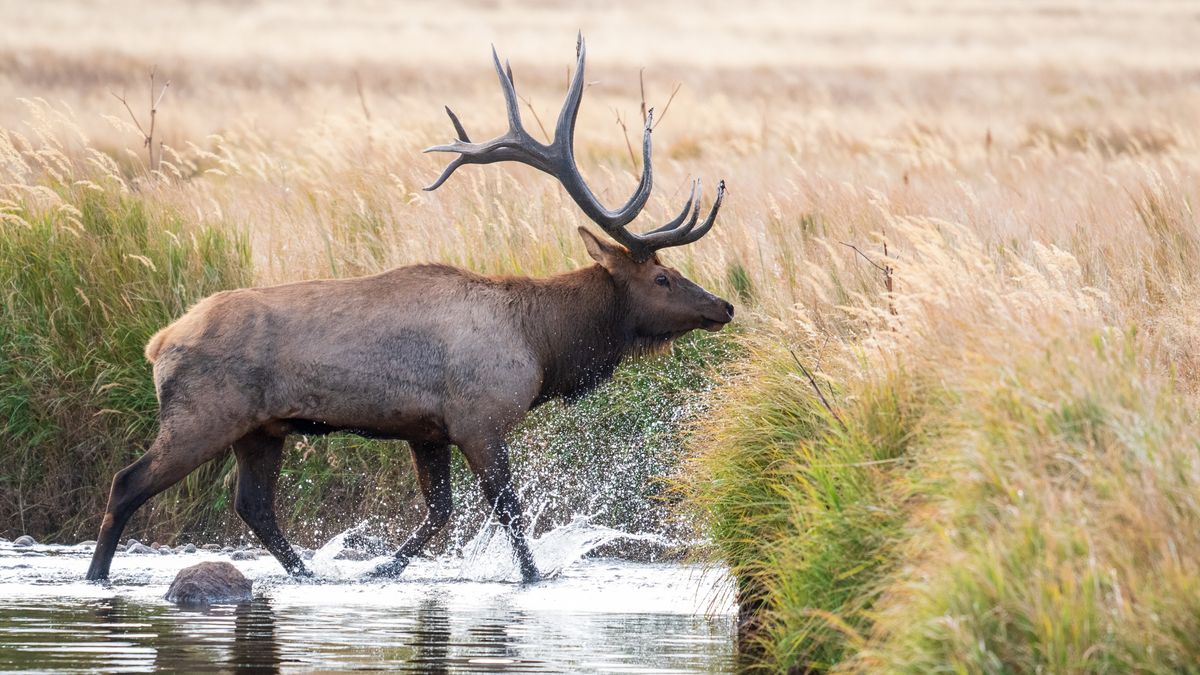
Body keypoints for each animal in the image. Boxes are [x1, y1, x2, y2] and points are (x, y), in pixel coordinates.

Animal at [87, 36, 729, 581]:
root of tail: (158, 342)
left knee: (253, 506)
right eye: (663, 277)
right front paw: (530, 578)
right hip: (203, 414)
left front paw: (380, 570)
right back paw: (98, 576)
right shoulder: (479, 417)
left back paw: (310, 575)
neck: (543, 345)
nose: (722, 305)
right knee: (127, 483)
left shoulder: (429, 430)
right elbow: (509, 512)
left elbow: (439, 514)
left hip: (261, 428)